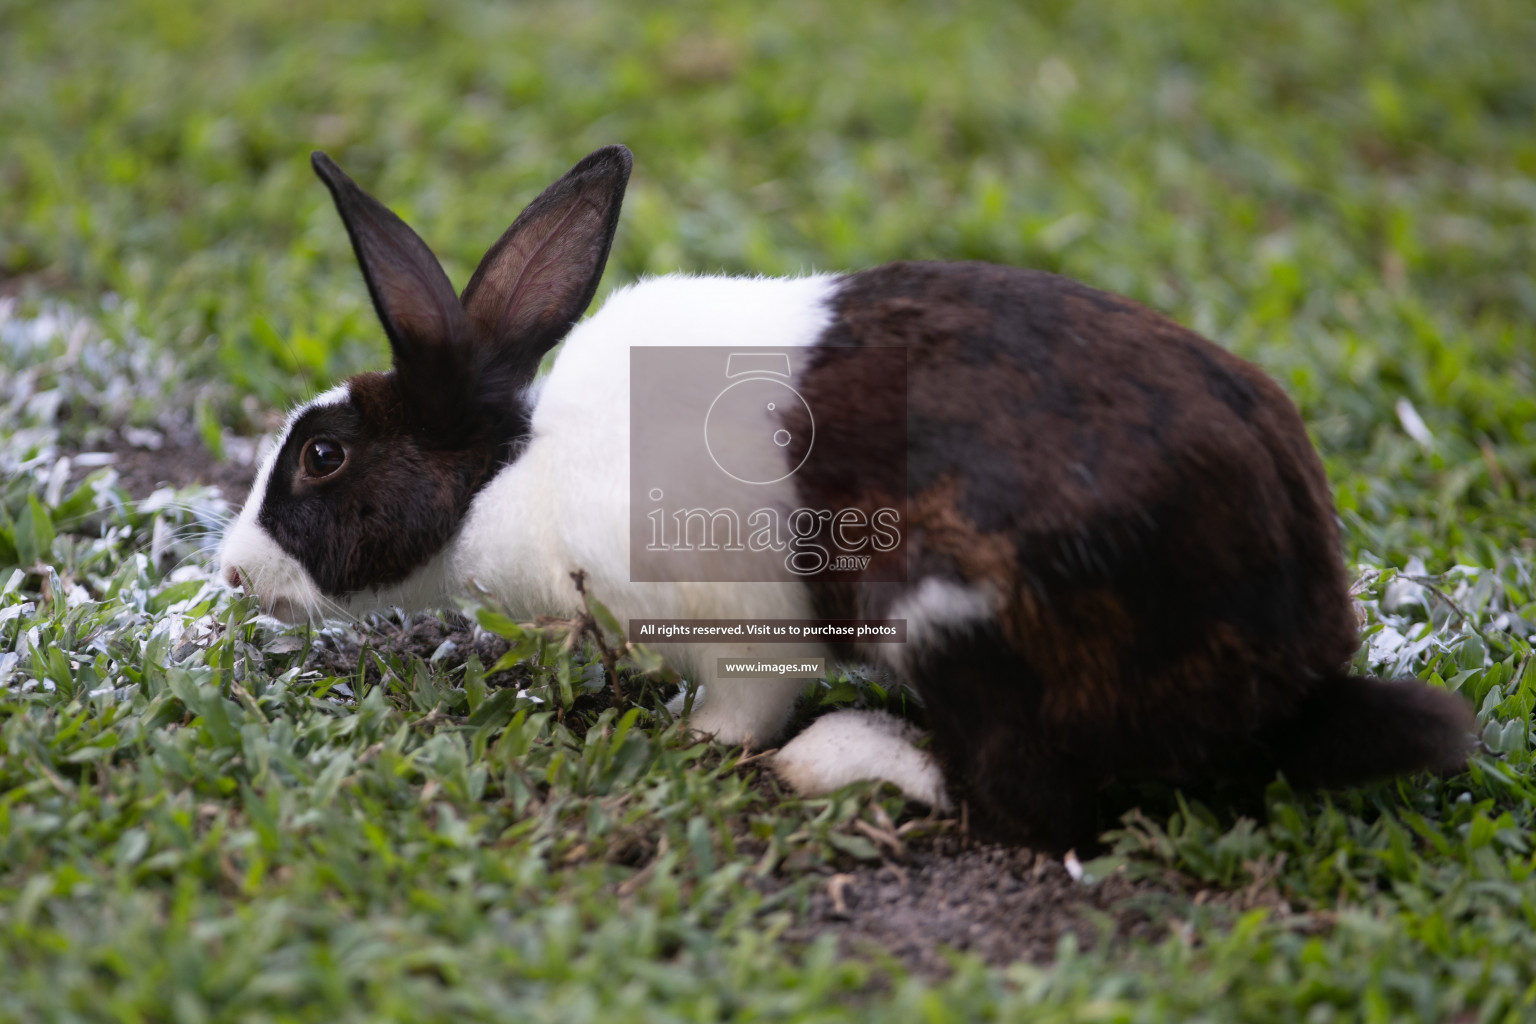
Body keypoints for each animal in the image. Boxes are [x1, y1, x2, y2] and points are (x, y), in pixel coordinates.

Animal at [219, 142, 1474, 847]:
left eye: (321, 457)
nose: (231, 570)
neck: (513, 468)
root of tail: (1290, 674)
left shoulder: (746, 631)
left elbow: (742, 711)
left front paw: (701, 744)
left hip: (956, 625)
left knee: (1019, 806)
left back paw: (849, 759)